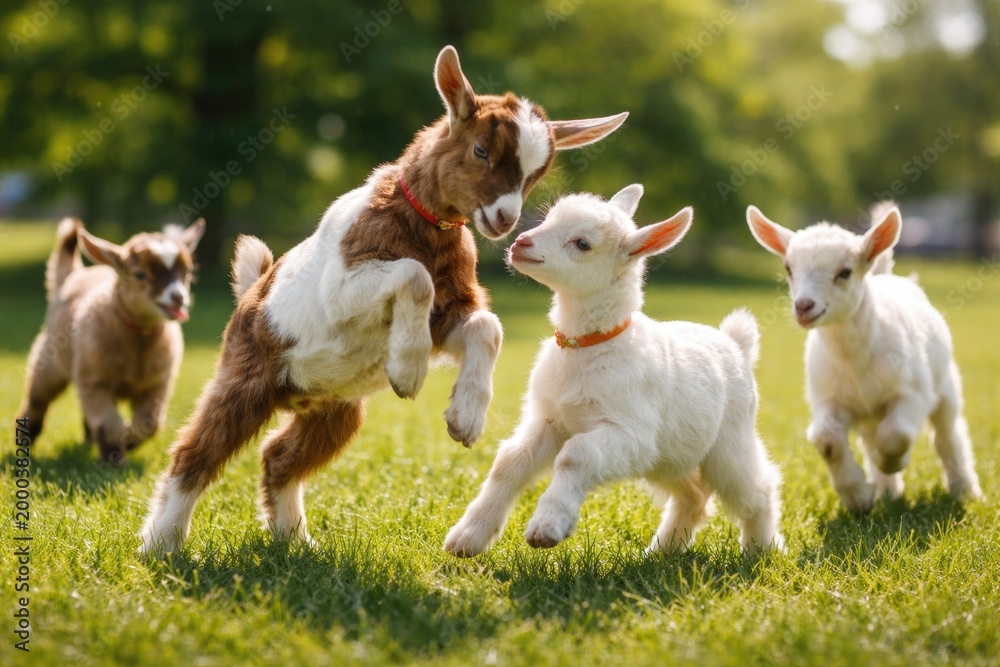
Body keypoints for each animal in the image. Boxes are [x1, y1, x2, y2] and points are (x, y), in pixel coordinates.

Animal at [19, 216, 205, 464]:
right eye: (139, 274)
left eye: (187, 272)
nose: (178, 298)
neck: (138, 343)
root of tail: (72, 275)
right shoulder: (96, 382)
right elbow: (108, 423)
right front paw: (114, 459)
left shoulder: (157, 383)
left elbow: (150, 423)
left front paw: (128, 441)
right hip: (49, 361)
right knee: (38, 399)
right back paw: (26, 437)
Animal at [138, 45, 628, 554]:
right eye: (480, 150)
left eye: (536, 174)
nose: (504, 219)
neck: (420, 223)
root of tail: (253, 292)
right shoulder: (343, 287)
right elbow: (414, 275)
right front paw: (407, 370)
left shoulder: (448, 314)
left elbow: (485, 326)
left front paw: (465, 418)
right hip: (246, 381)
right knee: (193, 452)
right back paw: (162, 544)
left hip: (334, 410)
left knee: (278, 457)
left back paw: (295, 540)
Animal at [444, 185, 785, 557]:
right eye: (548, 218)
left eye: (582, 244)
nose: (521, 243)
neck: (589, 347)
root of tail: (737, 344)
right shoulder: (552, 419)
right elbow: (510, 461)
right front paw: (468, 538)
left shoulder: (629, 429)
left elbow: (575, 455)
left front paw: (547, 527)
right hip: (670, 455)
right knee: (694, 496)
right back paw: (663, 551)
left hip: (728, 444)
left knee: (757, 489)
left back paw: (761, 550)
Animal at [746, 203, 983, 512]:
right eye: (788, 269)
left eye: (845, 272)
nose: (804, 306)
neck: (854, 360)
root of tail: (885, 275)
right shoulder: (829, 399)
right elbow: (826, 440)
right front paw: (858, 497)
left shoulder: (913, 394)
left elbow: (896, 436)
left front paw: (892, 463)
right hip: (867, 413)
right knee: (871, 440)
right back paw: (886, 491)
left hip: (945, 388)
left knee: (947, 436)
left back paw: (964, 490)